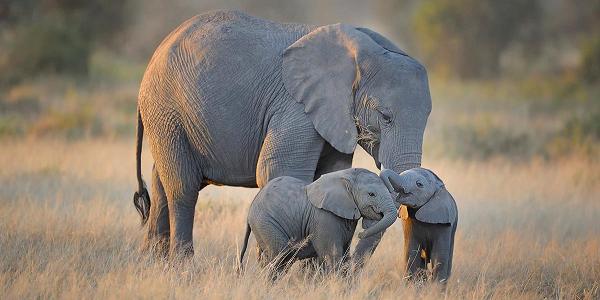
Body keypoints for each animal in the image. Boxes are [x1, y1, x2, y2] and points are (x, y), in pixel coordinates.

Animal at [134, 9, 432, 258]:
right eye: (385, 117)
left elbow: (330, 174)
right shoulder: (295, 107)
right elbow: (279, 170)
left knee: (161, 182)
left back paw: (153, 264)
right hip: (166, 110)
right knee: (183, 188)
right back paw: (183, 267)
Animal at [239, 168, 398, 278]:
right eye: (372, 194)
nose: (361, 233)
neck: (346, 176)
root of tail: (250, 209)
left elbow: (345, 255)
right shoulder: (324, 218)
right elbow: (332, 256)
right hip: (266, 223)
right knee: (280, 257)